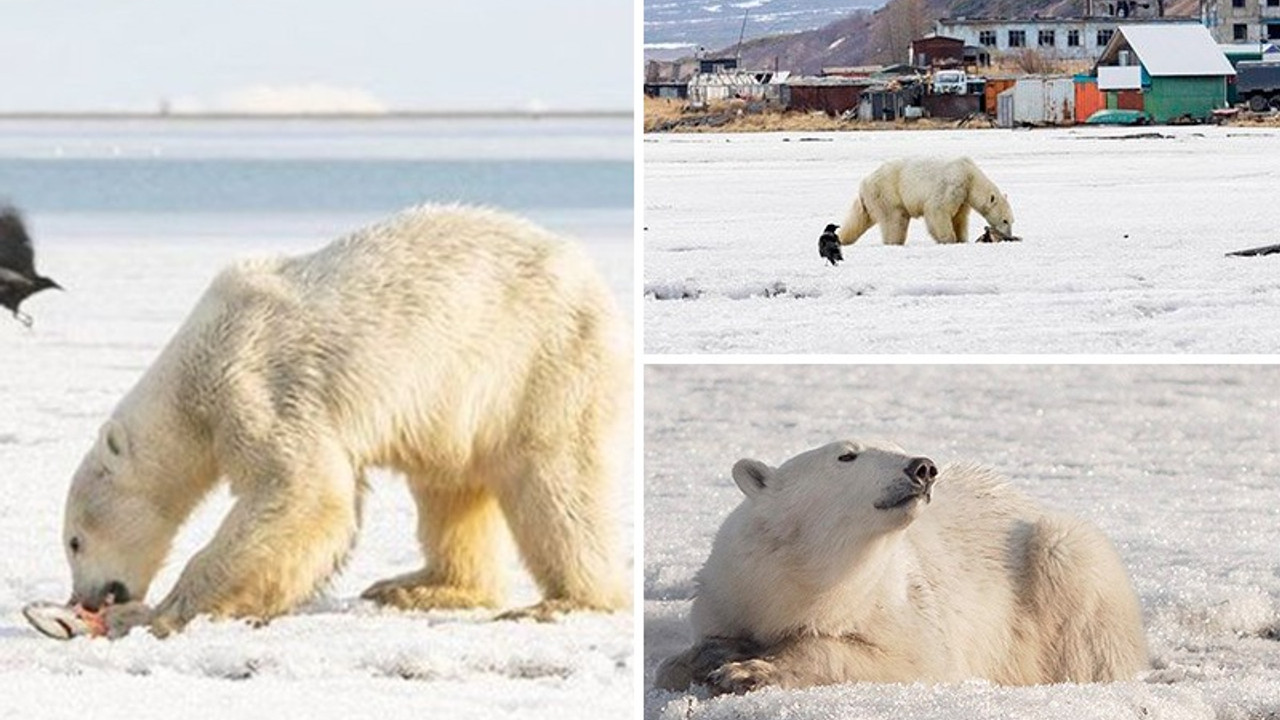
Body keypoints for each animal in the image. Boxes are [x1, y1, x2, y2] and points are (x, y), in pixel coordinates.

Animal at [60, 199, 629, 632]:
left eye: (74, 540)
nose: (83, 598)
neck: (197, 365)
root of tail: (588, 275)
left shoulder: (259, 385)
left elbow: (300, 490)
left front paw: (161, 613)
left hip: (537, 362)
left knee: (554, 482)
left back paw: (565, 600)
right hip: (459, 404)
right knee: (449, 487)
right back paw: (418, 586)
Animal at [655, 435, 1146, 691]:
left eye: (897, 445)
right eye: (847, 454)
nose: (923, 467)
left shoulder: (897, 607)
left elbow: (901, 658)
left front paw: (748, 670)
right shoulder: (731, 590)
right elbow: (683, 657)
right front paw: (706, 658)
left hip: (1059, 557)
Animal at [834, 155, 1013, 244]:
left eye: (1012, 221)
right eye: (1005, 220)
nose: (1010, 236)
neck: (970, 175)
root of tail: (863, 183)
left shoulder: (963, 198)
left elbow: (959, 218)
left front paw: (962, 239)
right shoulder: (952, 184)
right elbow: (938, 210)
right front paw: (949, 240)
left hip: (871, 199)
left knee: (859, 219)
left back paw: (842, 239)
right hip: (887, 192)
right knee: (895, 219)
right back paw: (894, 242)